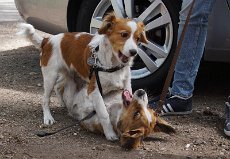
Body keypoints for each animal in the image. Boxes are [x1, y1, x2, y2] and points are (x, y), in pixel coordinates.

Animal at [17, 13, 147, 141]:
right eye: (124, 35)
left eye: (137, 38)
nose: (134, 52)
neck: (112, 64)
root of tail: (47, 40)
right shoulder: (94, 90)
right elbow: (103, 114)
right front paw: (110, 134)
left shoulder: (126, 86)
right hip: (50, 76)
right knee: (45, 98)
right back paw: (48, 117)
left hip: (68, 73)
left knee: (58, 87)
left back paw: (63, 103)